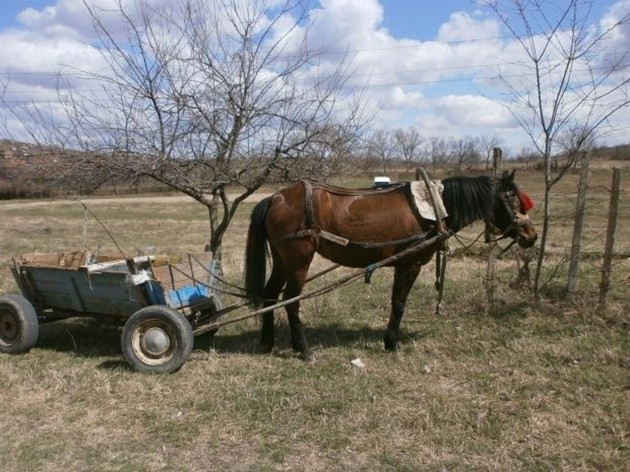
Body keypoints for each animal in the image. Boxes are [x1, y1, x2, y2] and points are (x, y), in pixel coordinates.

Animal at [246, 170, 540, 358]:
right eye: (511, 199)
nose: (532, 235)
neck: (434, 207)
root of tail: (275, 198)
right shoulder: (410, 264)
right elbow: (399, 303)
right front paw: (392, 343)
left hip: (282, 259)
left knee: (271, 295)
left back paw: (268, 343)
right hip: (298, 260)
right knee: (291, 300)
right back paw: (304, 349)